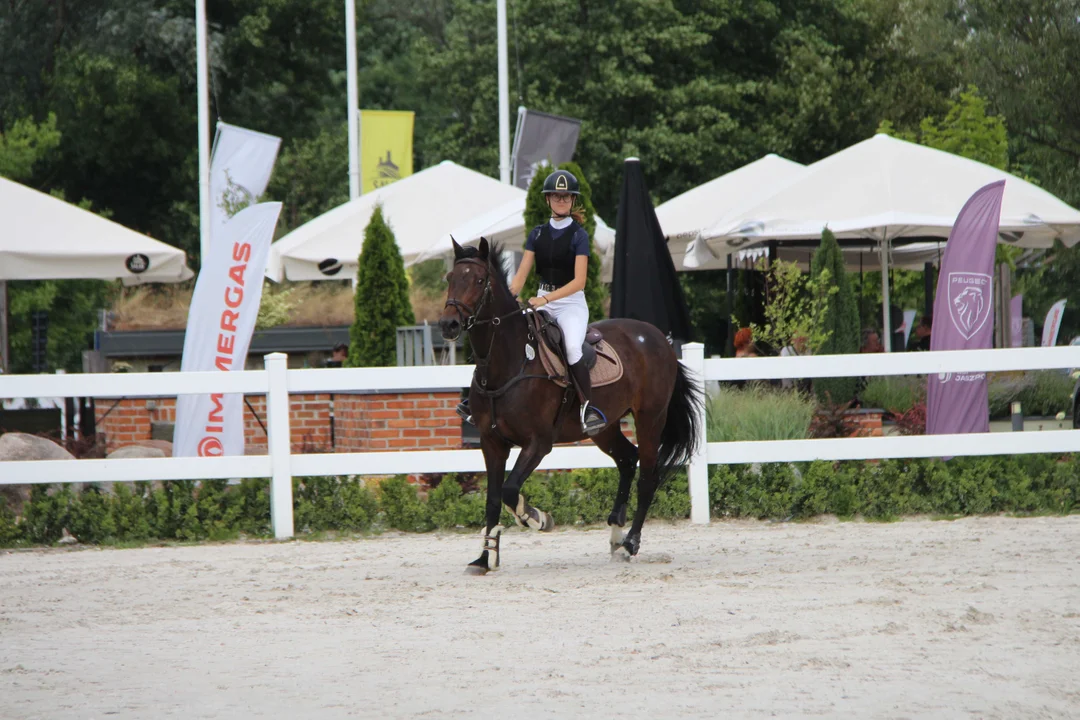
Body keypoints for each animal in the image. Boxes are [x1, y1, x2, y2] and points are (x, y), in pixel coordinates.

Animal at [440, 239, 708, 578]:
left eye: (478, 281)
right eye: (450, 278)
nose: (448, 324)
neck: (509, 363)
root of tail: (658, 336)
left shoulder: (538, 443)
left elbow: (511, 491)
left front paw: (537, 518)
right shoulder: (492, 443)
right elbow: (492, 500)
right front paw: (485, 557)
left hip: (650, 419)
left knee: (648, 475)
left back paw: (630, 543)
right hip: (604, 428)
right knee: (626, 459)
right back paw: (616, 534)